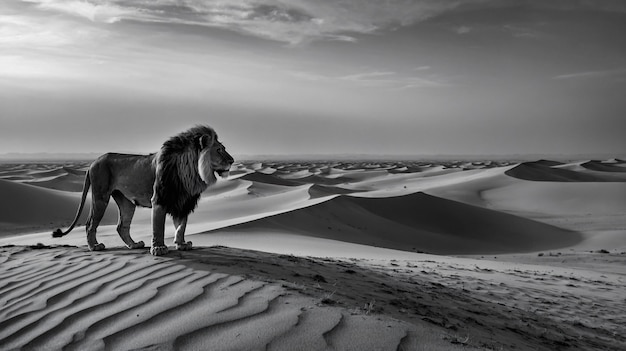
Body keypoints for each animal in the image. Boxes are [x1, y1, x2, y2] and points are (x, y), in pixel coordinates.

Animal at [51, 126, 234, 256]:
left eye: (223, 148)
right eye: (219, 150)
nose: (232, 161)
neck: (191, 171)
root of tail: (92, 163)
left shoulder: (183, 201)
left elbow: (181, 226)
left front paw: (181, 244)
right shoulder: (159, 199)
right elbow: (158, 227)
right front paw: (159, 249)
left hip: (126, 202)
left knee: (122, 226)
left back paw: (134, 245)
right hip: (101, 195)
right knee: (90, 223)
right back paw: (95, 246)